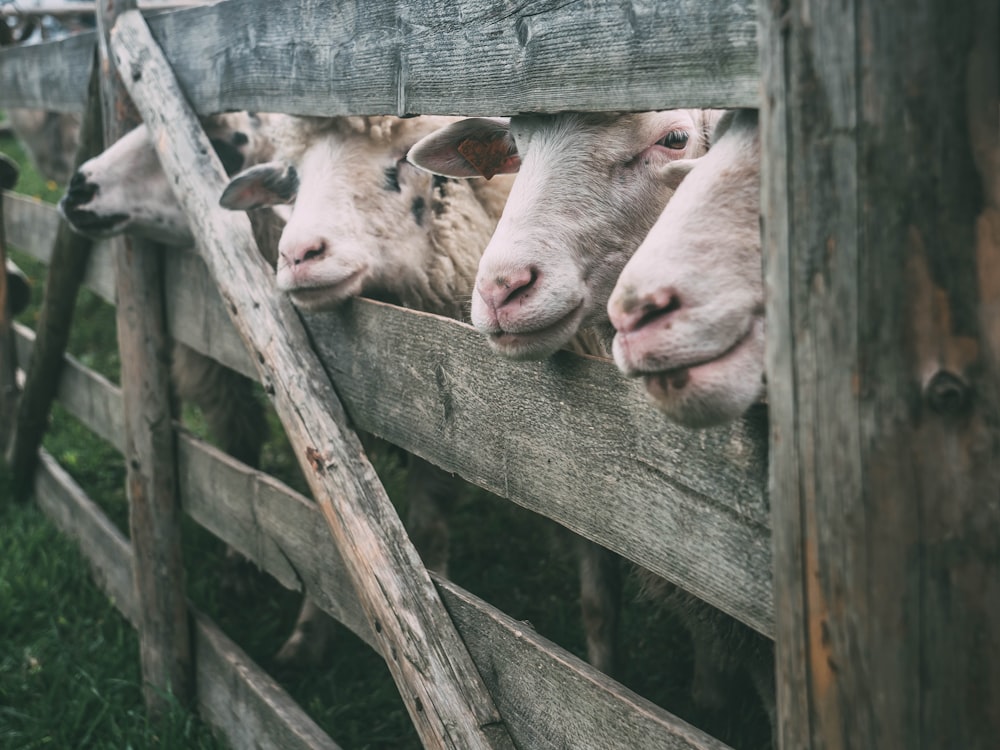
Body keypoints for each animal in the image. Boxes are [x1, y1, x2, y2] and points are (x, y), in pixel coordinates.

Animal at [221, 114, 624, 680]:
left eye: (400, 166)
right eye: (293, 177)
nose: (298, 255)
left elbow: (595, 587)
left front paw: (602, 670)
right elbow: (353, 528)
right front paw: (307, 639)